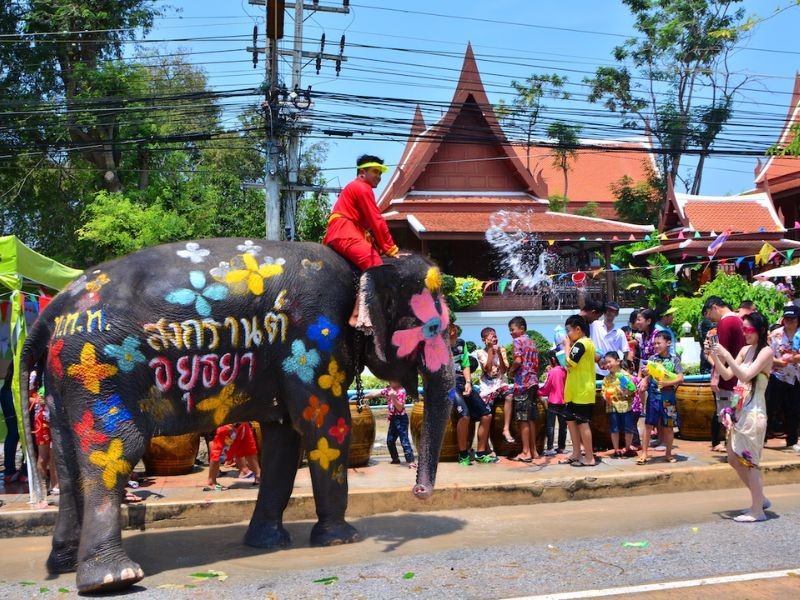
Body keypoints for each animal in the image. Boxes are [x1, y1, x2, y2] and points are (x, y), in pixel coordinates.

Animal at [20, 237, 456, 592]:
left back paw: (62, 565)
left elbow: (284, 438)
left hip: (61, 382)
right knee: (113, 451)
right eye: (435, 328)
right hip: (96, 371)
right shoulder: (315, 339)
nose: (418, 492)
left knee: (66, 458)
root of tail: (54, 309)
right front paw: (341, 539)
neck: (367, 268)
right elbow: (325, 428)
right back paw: (113, 579)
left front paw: (268, 542)